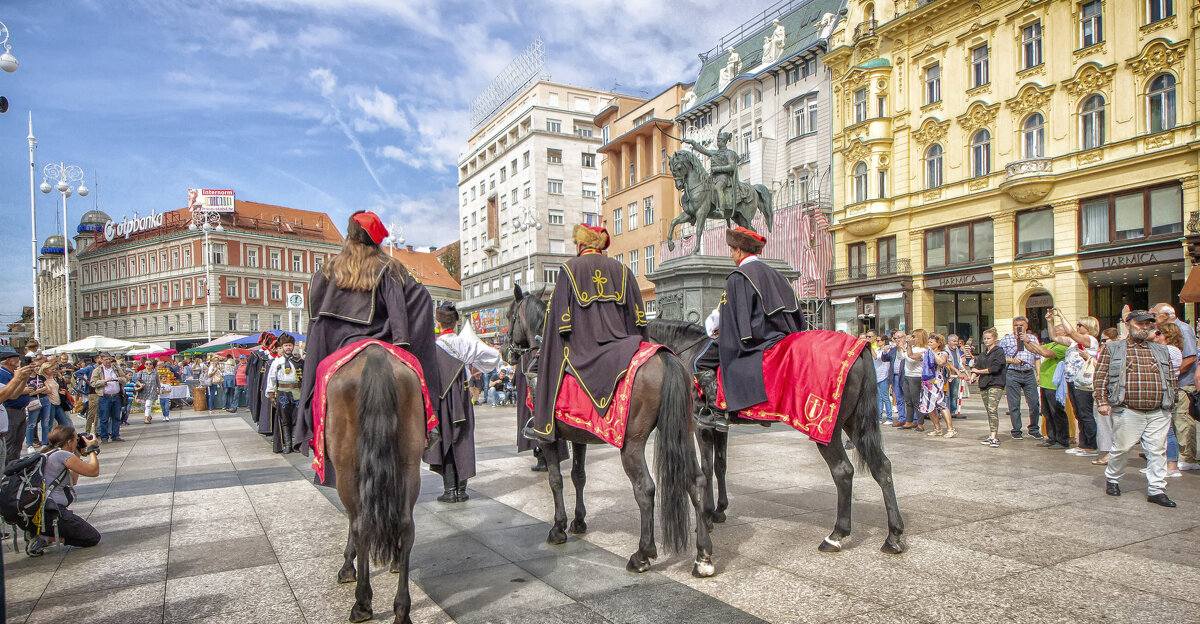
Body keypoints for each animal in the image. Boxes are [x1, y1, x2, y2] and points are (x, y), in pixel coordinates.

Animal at [324, 343, 427, 624]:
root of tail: (375, 355)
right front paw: (396, 561)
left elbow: (353, 521)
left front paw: (348, 567)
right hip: (409, 464)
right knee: (406, 525)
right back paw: (402, 609)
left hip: (346, 468)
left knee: (361, 525)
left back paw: (362, 603)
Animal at [504, 286, 710, 576]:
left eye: (509, 315)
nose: (504, 351)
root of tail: (666, 356)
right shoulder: (578, 435)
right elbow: (578, 476)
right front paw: (578, 522)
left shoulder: (548, 439)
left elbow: (555, 480)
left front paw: (558, 528)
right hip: (684, 433)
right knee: (697, 482)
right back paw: (703, 557)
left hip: (632, 445)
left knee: (645, 489)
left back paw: (642, 554)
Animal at [652, 319, 902, 554]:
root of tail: (860, 348)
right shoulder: (719, 425)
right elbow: (719, 465)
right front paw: (719, 510)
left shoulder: (699, 424)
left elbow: (706, 468)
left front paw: (706, 517)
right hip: (855, 422)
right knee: (882, 467)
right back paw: (894, 536)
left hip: (826, 430)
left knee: (843, 472)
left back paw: (836, 535)